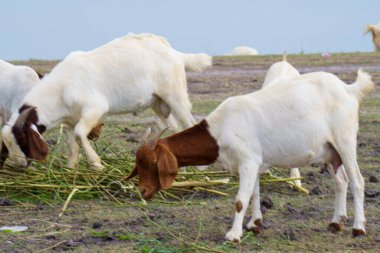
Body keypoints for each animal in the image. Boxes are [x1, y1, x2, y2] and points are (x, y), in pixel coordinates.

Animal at [1, 32, 212, 169]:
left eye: (22, 138)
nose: (20, 164)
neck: (61, 89)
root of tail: (173, 52)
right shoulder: (70, 121)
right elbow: (72, 143)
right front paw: (71, 168)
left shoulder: (94, 110)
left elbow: (80, 133)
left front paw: (96, 164)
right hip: (158, 103)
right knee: (175, 127)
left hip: (175, 95)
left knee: (188, 122)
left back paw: (200, 168)